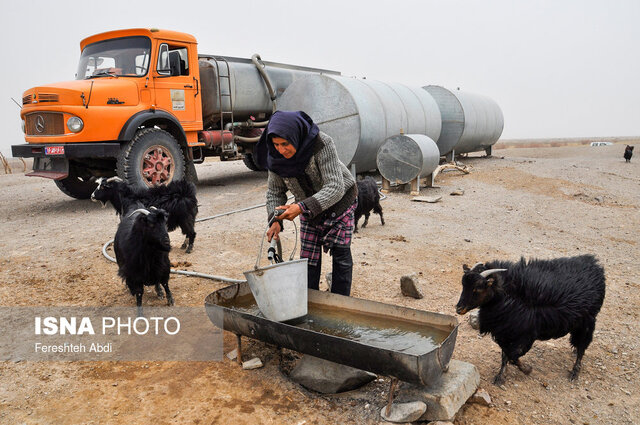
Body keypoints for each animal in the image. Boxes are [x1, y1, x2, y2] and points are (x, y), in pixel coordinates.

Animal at [456, 253, 604, 386]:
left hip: (587, 322)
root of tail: (595, 266)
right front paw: (501, 376)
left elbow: (513, 356)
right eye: (463, 285)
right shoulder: (505, 333)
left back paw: (575, 372)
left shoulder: (524, 334)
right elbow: (505, 355)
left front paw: (527, 369)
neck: (509, 295)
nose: (459, 308)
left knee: (582, 346)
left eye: (477, 288)